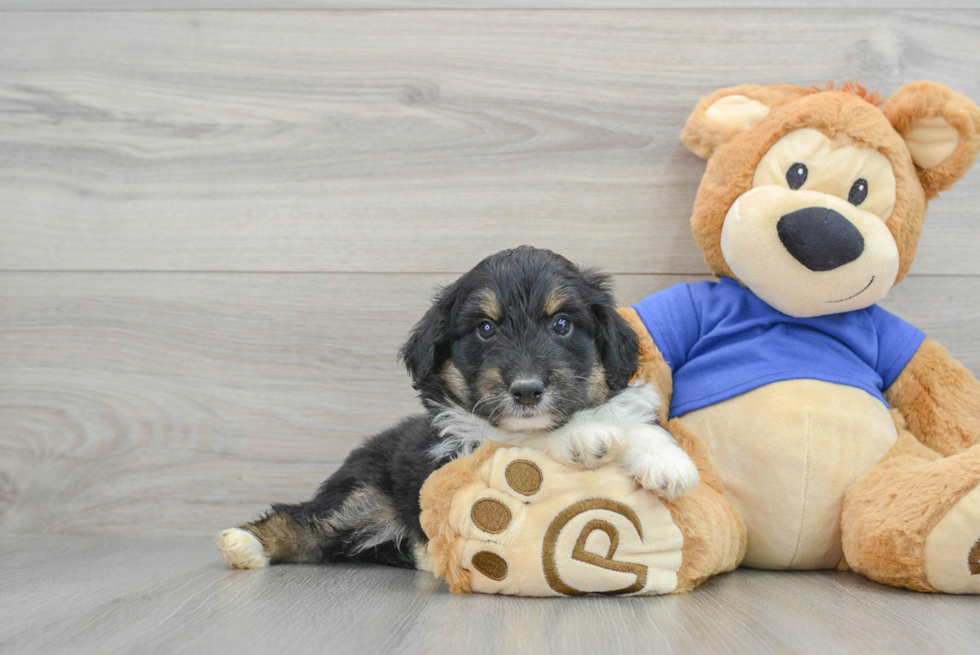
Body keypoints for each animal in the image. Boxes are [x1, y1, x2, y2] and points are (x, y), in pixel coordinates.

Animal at [219, 246, 700, 568]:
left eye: (562, 325)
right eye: (486, 329)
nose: (527, 391)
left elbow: (638, 421)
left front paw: (666, 463)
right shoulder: (460, 455)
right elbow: (524, 443)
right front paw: (585, 435)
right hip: (361, 494)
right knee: (302, 522)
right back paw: (244, 544)